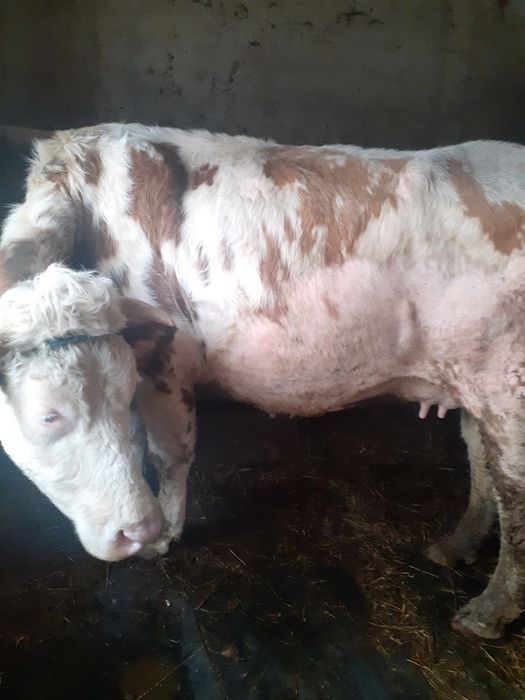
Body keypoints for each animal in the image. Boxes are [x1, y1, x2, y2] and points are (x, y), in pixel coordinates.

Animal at [0, 123, 525, 639]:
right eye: (50, 415)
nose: (134, 532)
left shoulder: (170, 360)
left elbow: (168, 454)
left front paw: (165, 535)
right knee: (481, 460)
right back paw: (455, 547)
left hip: (507, 389)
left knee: (514, 494)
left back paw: (486, 612)